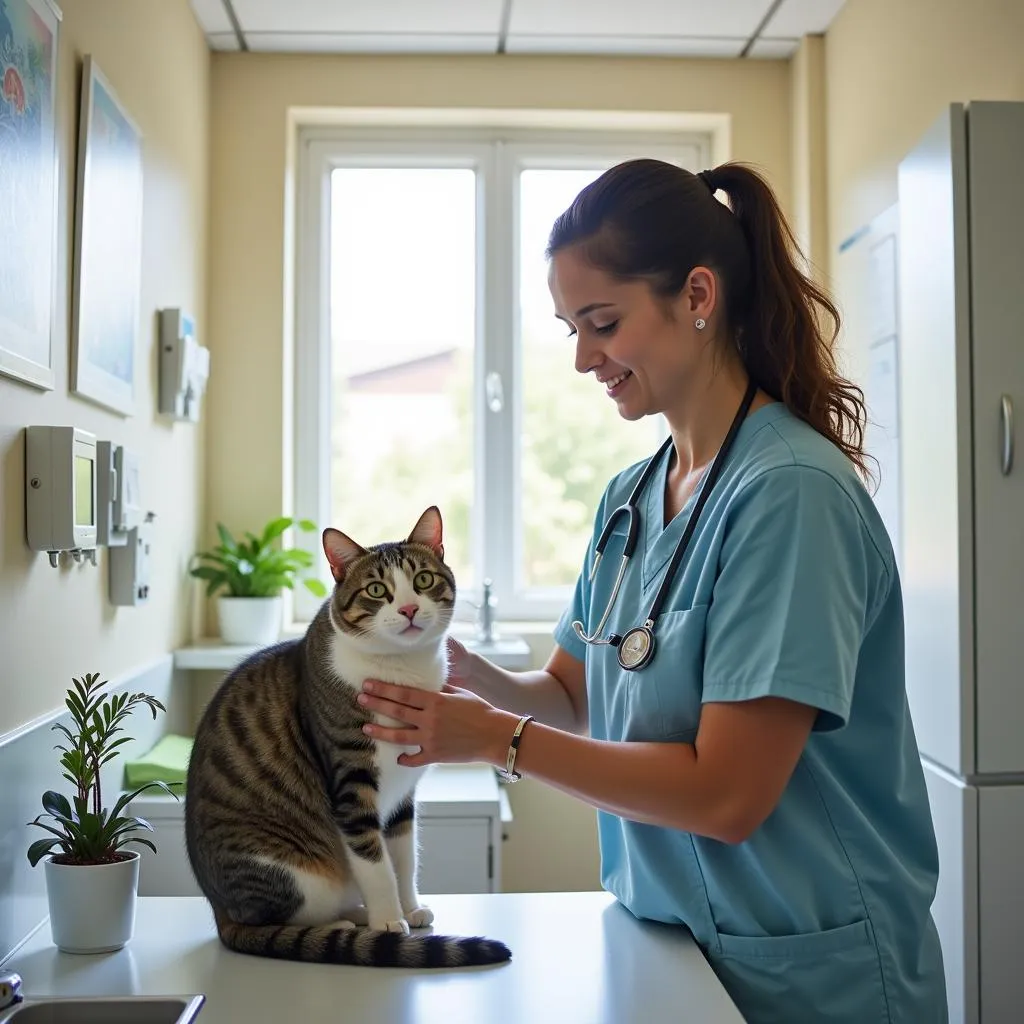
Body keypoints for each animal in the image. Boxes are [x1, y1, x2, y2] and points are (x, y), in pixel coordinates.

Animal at [185, 507, 512, 962]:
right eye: (377, 589)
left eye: (423, 580)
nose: (409, 609)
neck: (401, 669)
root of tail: (219, 911)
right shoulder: (351, 784)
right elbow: (375, 864)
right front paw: (390, 921)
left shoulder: (404, 791)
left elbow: (403, 857)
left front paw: (410, 908)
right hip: (294, 873)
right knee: (277, 917)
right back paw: (342, 924)